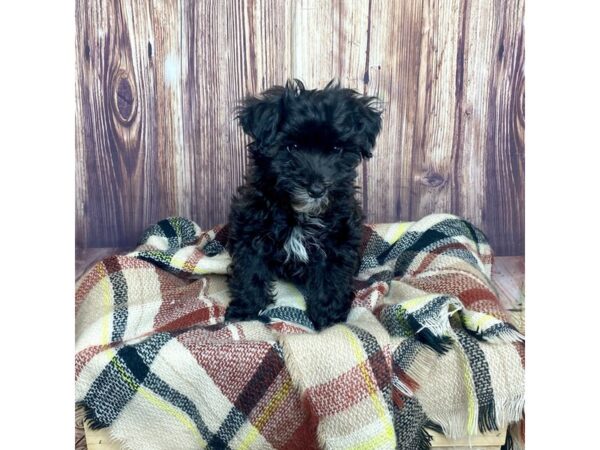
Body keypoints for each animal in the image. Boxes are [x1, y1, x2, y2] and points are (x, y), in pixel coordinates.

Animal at [223, 79, 382, 328]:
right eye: (292, 147)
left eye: (336, 149)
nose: (316, 190)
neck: (299, 213)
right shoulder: (251, 231)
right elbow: (250, 271)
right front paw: (245, 310)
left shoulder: (338, 240)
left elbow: (331, 277)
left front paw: (328, 317)